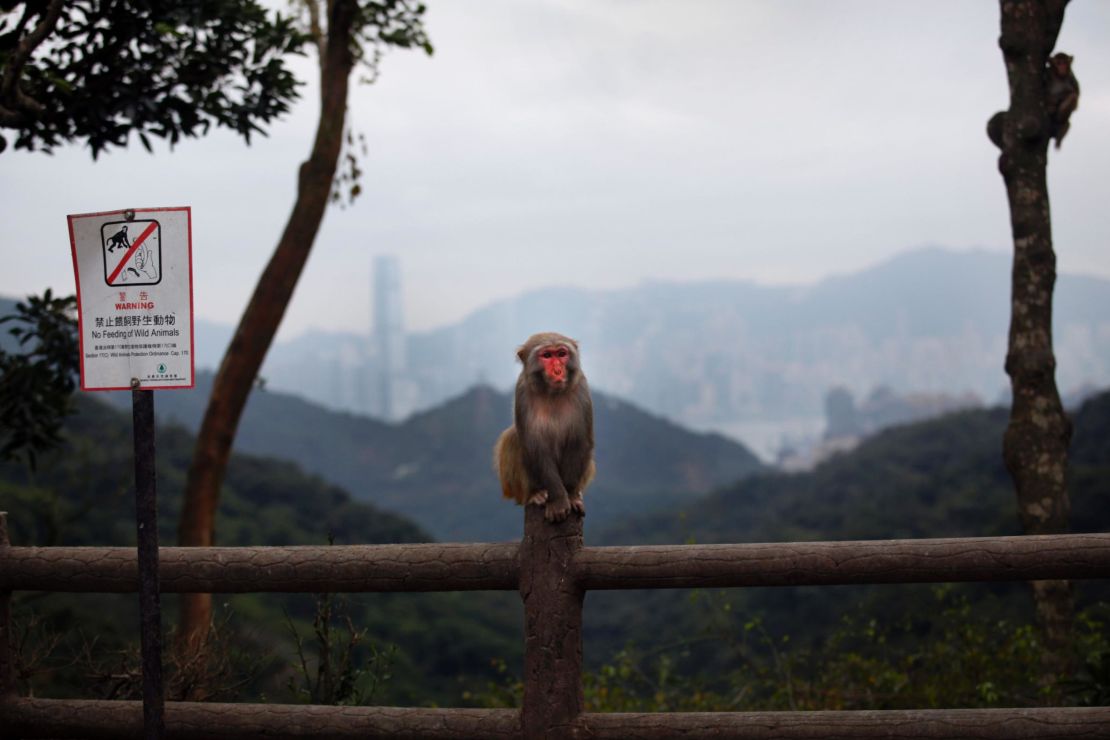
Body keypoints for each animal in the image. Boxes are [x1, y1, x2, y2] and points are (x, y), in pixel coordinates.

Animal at [497, 332, 599, 523]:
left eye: (561, 354)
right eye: (546, 355)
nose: (558, 370)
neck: (552, 393)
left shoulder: (581, 388)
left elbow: (580, 442)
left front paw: (570, 495)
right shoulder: (522, 392)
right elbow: (535, 447)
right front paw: (559, 500)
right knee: (513, 438)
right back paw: (534, 494)